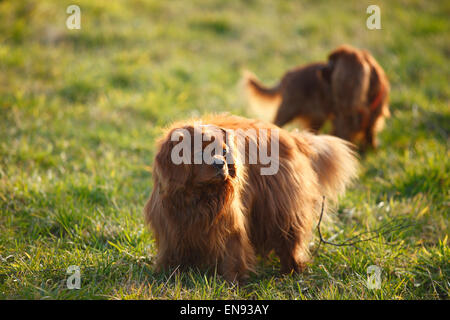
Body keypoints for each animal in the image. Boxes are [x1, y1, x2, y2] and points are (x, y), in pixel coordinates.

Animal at [142, 114, 356, 282]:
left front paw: (232, 281)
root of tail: (291, 136)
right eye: (199, 151)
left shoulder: (229, 224)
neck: (198, 196)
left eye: (224, 151)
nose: (220, 164)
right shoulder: (171, 228)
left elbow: (232, 253)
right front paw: (169, 273)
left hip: (281, 209)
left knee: (290, 241)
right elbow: (172, 252)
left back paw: (291, 271)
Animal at [244, 44, 388, 152]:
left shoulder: (372, 122)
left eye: (332, 63)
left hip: (315, 119)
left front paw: (371, 151)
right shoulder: (342, 123)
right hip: (287, 111)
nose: (320, 68)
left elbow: (369, 136)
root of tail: (287, 75)